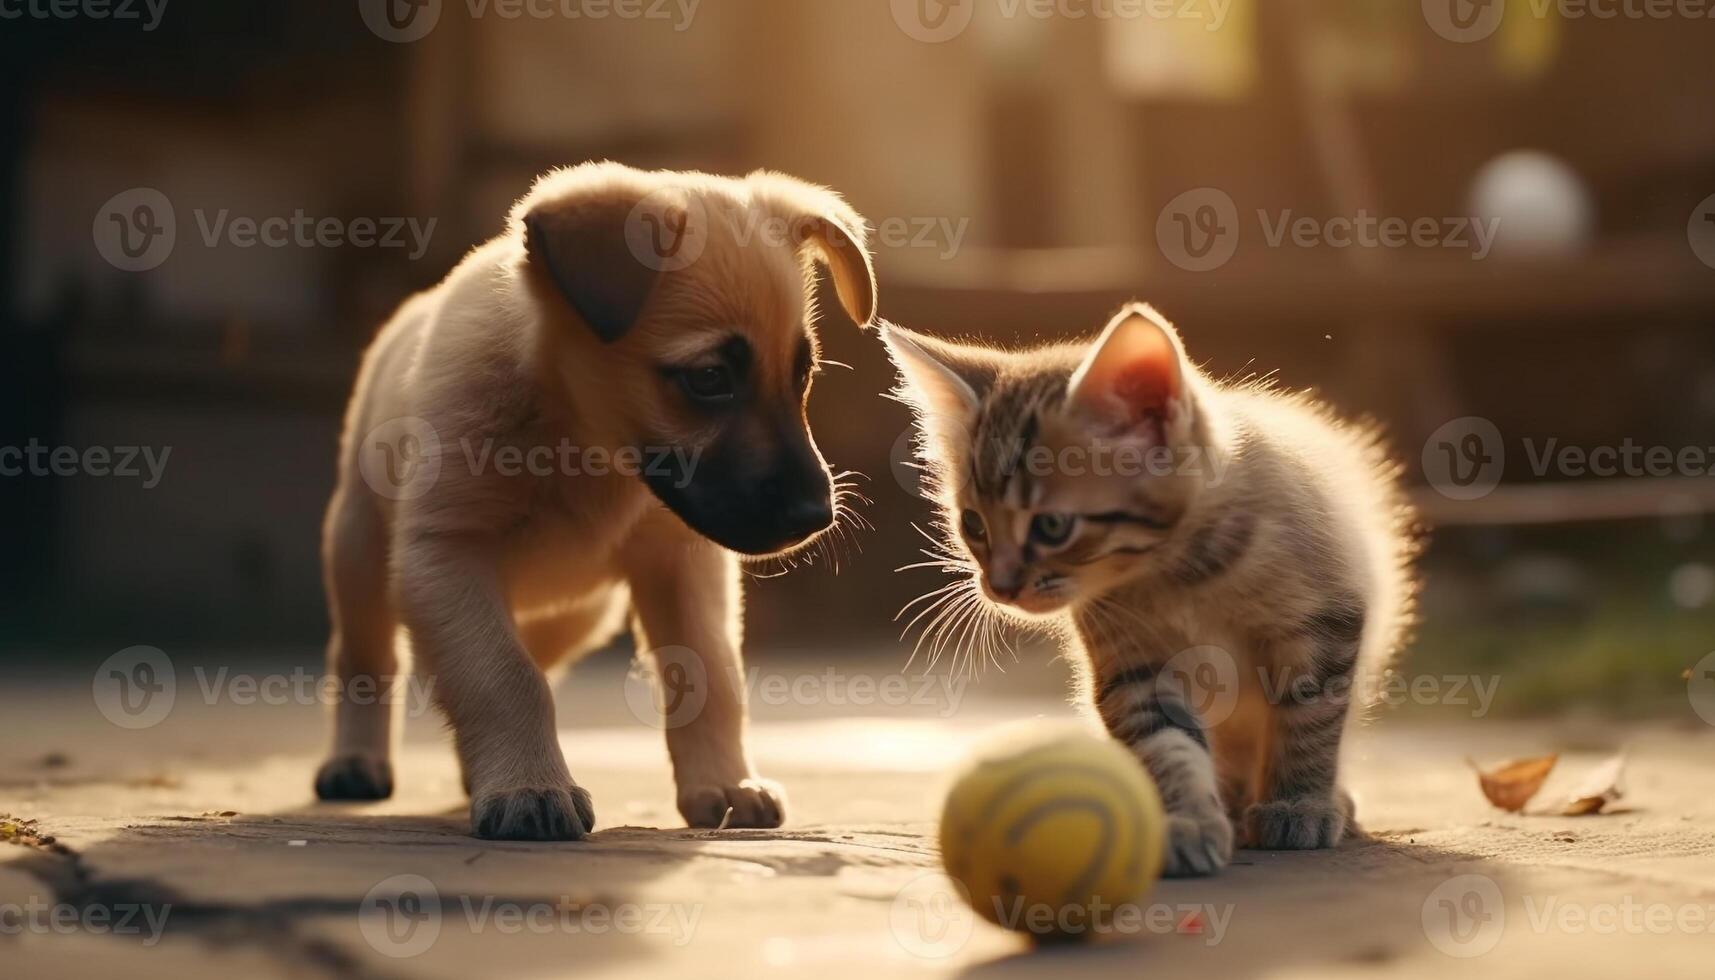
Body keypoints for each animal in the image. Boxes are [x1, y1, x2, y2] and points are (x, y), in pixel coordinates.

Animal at [313, 163, 878, 844]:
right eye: (709, 379)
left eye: (802, 377)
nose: (815, 518)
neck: (580, 444)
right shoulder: (446, 556)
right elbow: (504, 675)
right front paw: (531, 787)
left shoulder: (681, 564)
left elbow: (711, 674)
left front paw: (725, 784)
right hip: (361, 559)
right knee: (365, 659)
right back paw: (356, 760)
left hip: (576, 614)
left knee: (530, 654)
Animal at [884, 303, 1420, 878]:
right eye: (974, 525)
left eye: (1052, 527)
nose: (999, 586)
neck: (1179, 573)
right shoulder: (1133, 666)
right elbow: (1165, 742)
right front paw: (1185, 820)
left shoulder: (1327, 618)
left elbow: (1310, 717)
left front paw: (1298, 804)